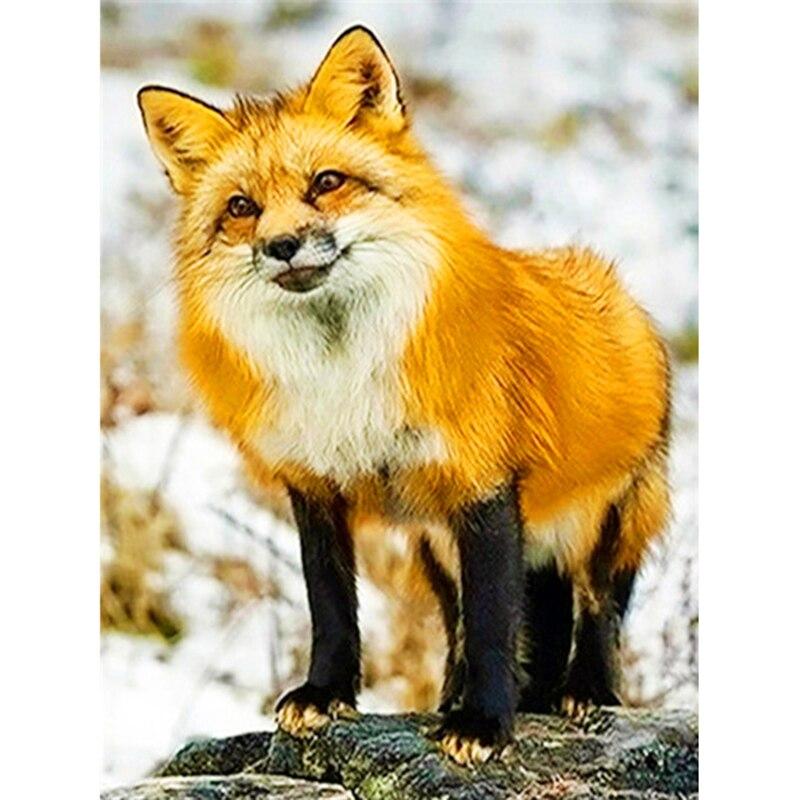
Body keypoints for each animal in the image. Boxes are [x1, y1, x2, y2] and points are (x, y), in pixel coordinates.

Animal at [138, 26, 671, 765]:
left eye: (326, 183)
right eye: (242, 208)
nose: (282, 245)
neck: (343, 372)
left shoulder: (482, 486)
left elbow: (493, 624)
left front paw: (484, 724)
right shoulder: (314, 487)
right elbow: (332, 607)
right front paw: (326, 693)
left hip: (609, 522)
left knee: (596, 608)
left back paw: (586, 692)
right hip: (435, 547)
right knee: (471, 625)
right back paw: (459, 698)